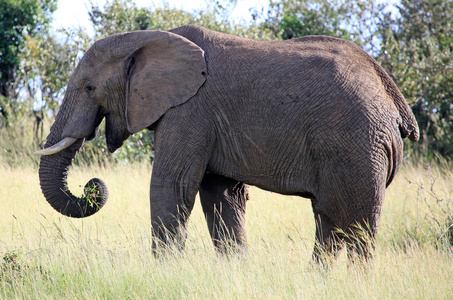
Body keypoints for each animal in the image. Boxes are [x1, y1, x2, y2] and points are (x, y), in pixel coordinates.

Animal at [34, 24, 416, 262]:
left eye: (89, 88)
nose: (92, 185)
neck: (149, 39)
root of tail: (393, 98)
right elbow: (222, 196)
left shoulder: (190, 110)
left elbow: (171, 186)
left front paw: (165, 272)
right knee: (329, 219)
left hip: (358, 144)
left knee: (358, 223)